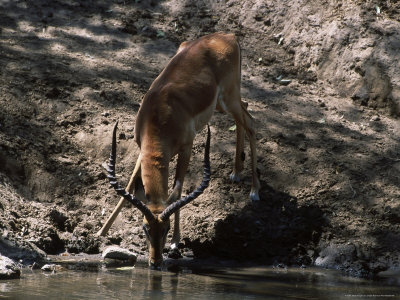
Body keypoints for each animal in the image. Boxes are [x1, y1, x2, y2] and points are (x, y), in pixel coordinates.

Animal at [98, 32, 260, 270]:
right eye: (145, 227)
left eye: (164, 229)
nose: (155, 263)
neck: (159, 112)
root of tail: (227, 36)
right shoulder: (142, 148)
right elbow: (129, 184)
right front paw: (101, 231)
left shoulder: (187, 147)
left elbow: (179, 189)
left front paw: (175, 243)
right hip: (224, 103)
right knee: (245, 112)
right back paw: (236, 173)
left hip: (229, 98)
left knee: (251, 124)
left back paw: (255, 191)